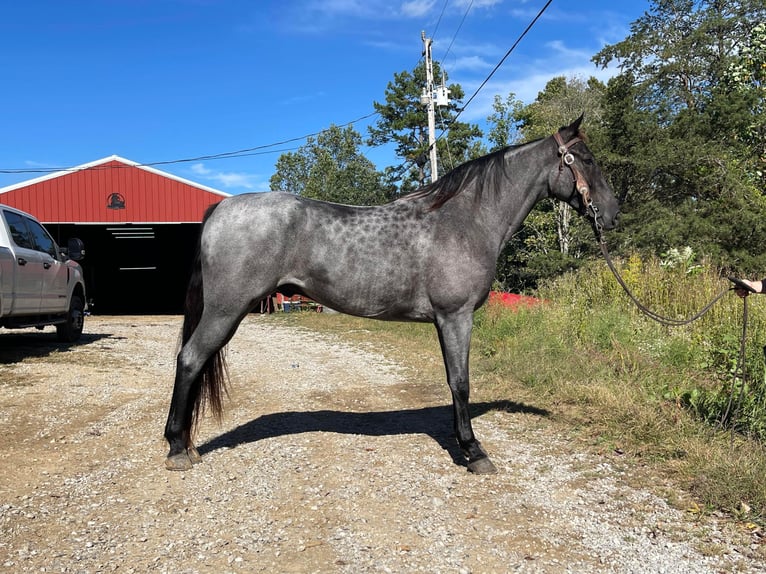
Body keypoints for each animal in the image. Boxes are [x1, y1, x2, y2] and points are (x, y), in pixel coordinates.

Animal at [165, 116, 620, 476]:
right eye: (588, 160)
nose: (613, 213)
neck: (464, 220)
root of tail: (220, 209)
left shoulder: (444, 321)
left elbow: (453, 381)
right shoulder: (457, 317)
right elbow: (461, 383)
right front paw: (474, 451)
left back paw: (186, 445)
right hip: (226, 311)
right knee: (189, 360)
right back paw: (176, 448)